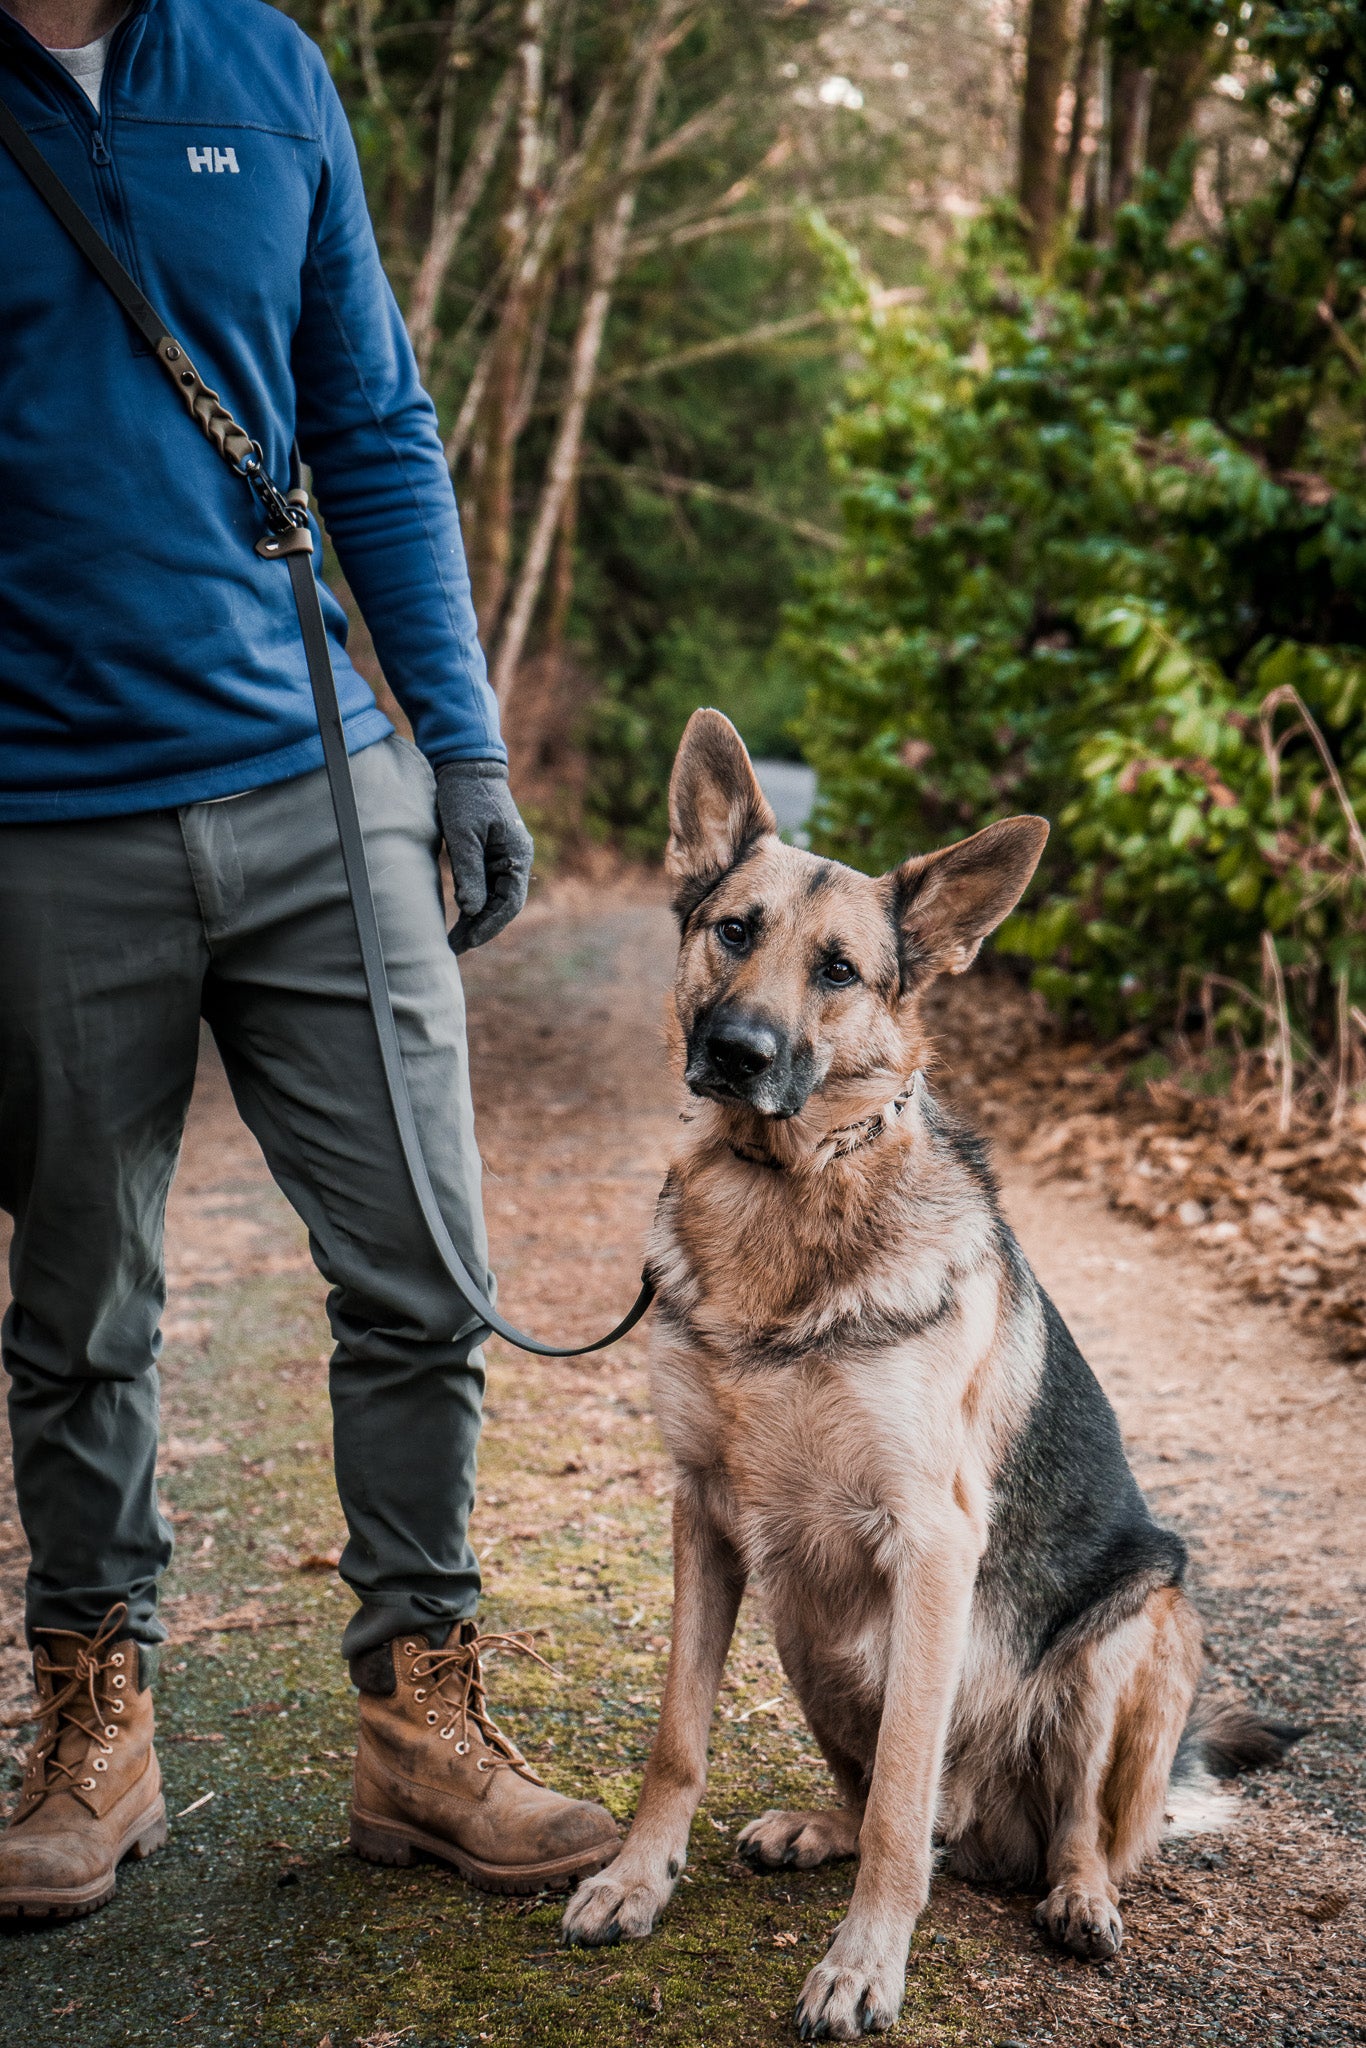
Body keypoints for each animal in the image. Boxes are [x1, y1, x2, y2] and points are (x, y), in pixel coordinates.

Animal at [565, 712, 1302, 2039]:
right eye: (732, 929)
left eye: (840, 969)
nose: (734, 1050)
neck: (787, 1192)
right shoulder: (702, 1515)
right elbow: (680, 1738)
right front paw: (637, 1879)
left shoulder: (934, 1540)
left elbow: (906, 1797)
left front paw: (864, 1962)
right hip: (805, 1620)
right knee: (909, 1802)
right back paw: (817, 1824)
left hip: (1133, 1628)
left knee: (1061, 1825)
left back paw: (1076, 1898)